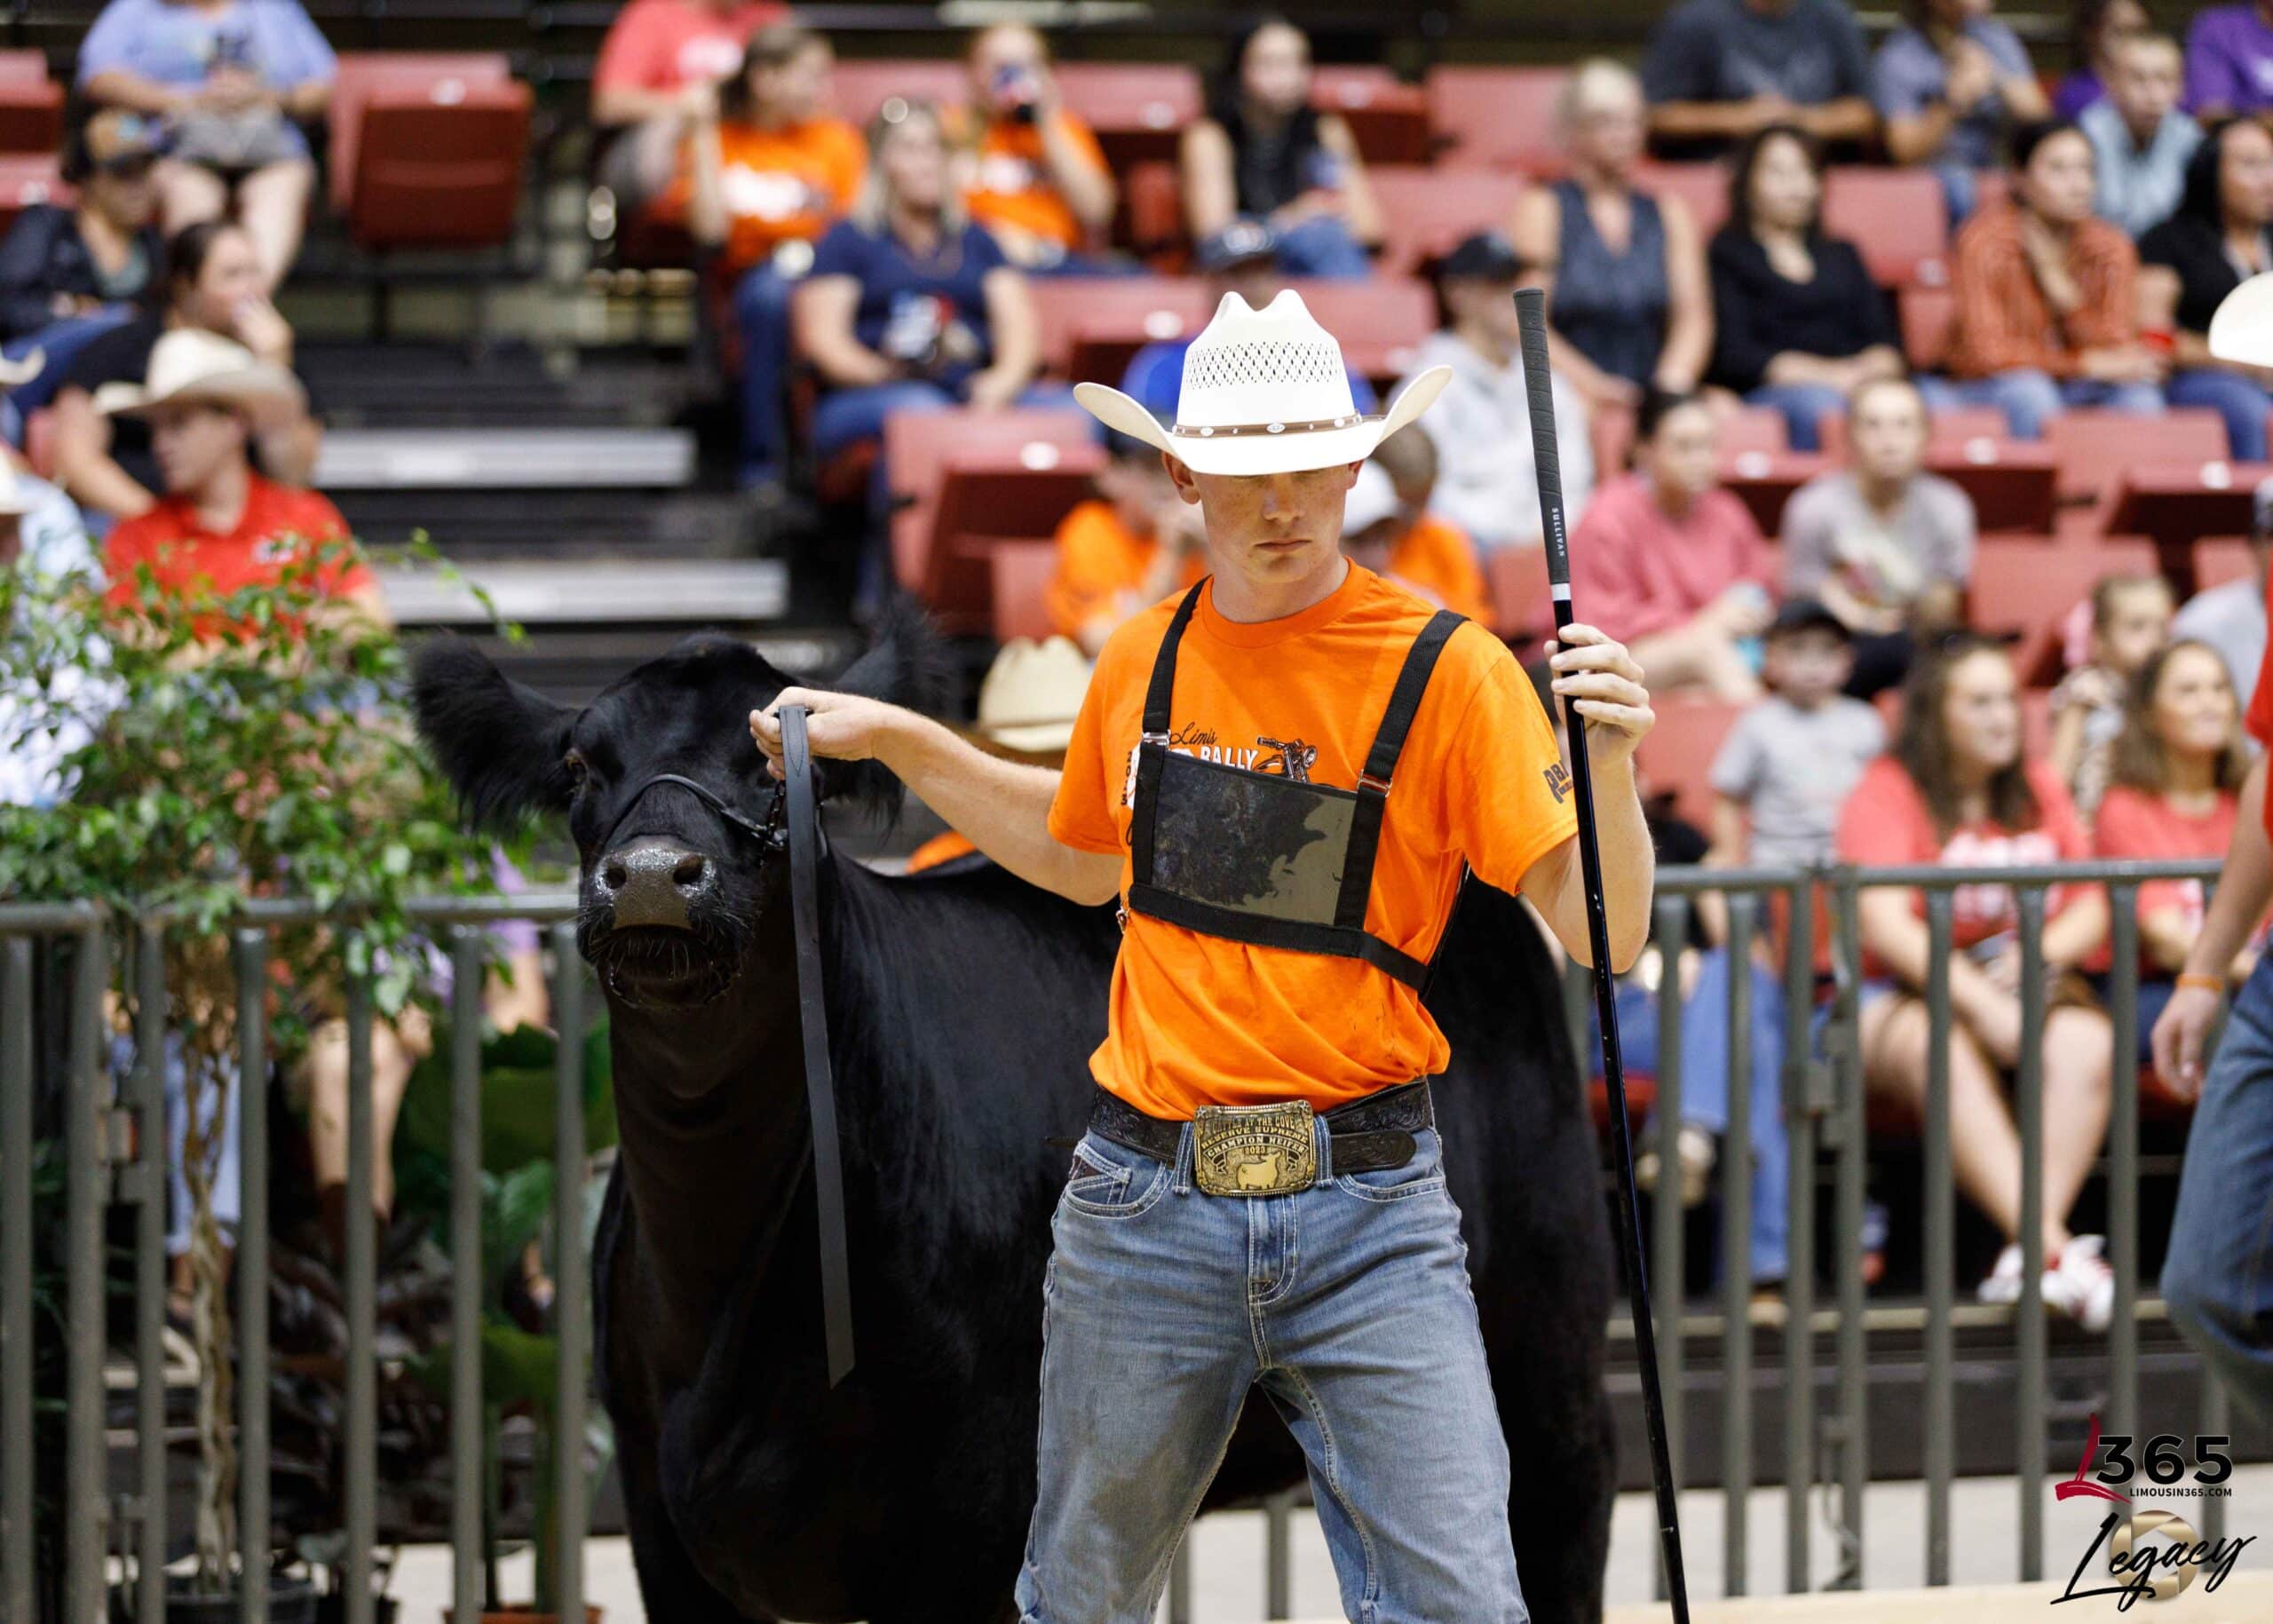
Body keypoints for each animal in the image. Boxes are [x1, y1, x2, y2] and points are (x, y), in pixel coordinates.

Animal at [412, 610, 1617, 1624]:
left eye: (777, 763)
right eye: (580, 765)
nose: (658, 873)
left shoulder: (965, 1527)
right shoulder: (664, 1532)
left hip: (1548, 1365)